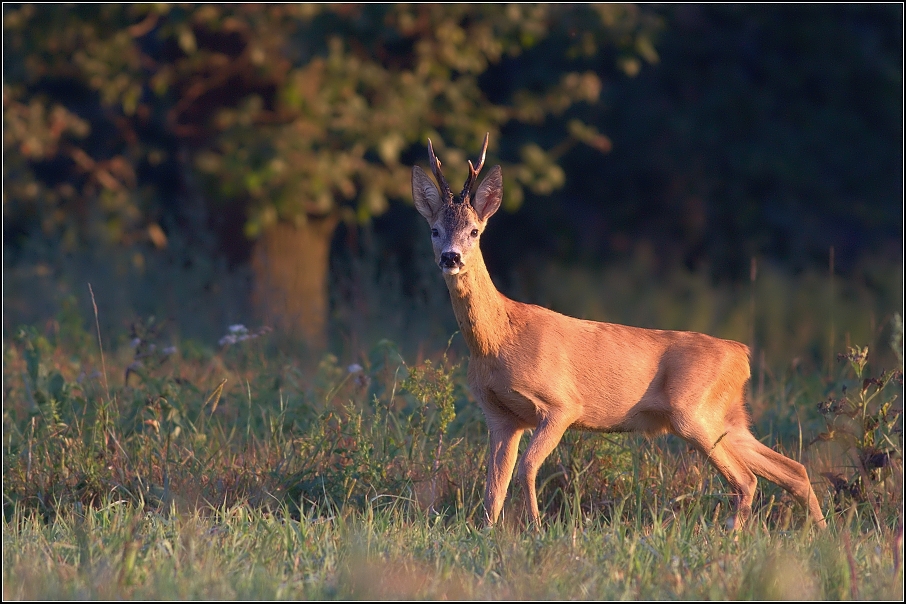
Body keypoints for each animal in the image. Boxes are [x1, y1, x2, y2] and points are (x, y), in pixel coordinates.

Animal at [412, 133, 828, 528]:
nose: (451, 257)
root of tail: (740, 353)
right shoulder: (500, 416)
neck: (498, 341)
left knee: (747, 480)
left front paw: (536, 529)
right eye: (434, 230)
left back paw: (732, 534)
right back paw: (820, 533)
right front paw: (487, 533)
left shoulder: (562, 404)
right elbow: (493, 487)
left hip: (693, 412)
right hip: (728, 416)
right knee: (793, 469)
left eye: (474, 231)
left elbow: (526, 469)